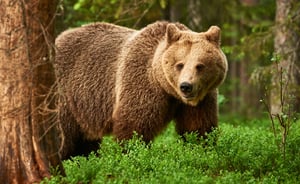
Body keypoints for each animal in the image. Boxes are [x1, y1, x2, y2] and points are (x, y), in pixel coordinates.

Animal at [54, 20, 227, 159]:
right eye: (180, 64)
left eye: (200, 65)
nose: (186, 86)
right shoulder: (141, 83)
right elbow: (135, 126)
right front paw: (134, 154)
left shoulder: (202, 100)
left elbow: (197, 127)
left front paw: (201, 149)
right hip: (66, 94)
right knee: (64, 135)